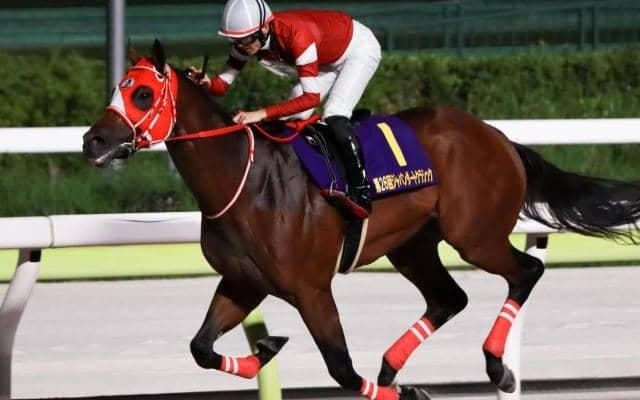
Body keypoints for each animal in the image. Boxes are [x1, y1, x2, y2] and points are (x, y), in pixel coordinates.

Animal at [82, 40, 640, 400]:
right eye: (117, 89)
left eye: (142, 94)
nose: (94, 140)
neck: (245, 180)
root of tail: (498, 136)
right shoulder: (243, 282)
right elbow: (200, 347)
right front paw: (267, 346)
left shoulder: (311, 288)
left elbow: (343, 369)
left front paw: (412, 393)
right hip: (412, 245)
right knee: (449, 297)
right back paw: (394, 366)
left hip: (474, 235)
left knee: (526, 271)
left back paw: (496, 366)